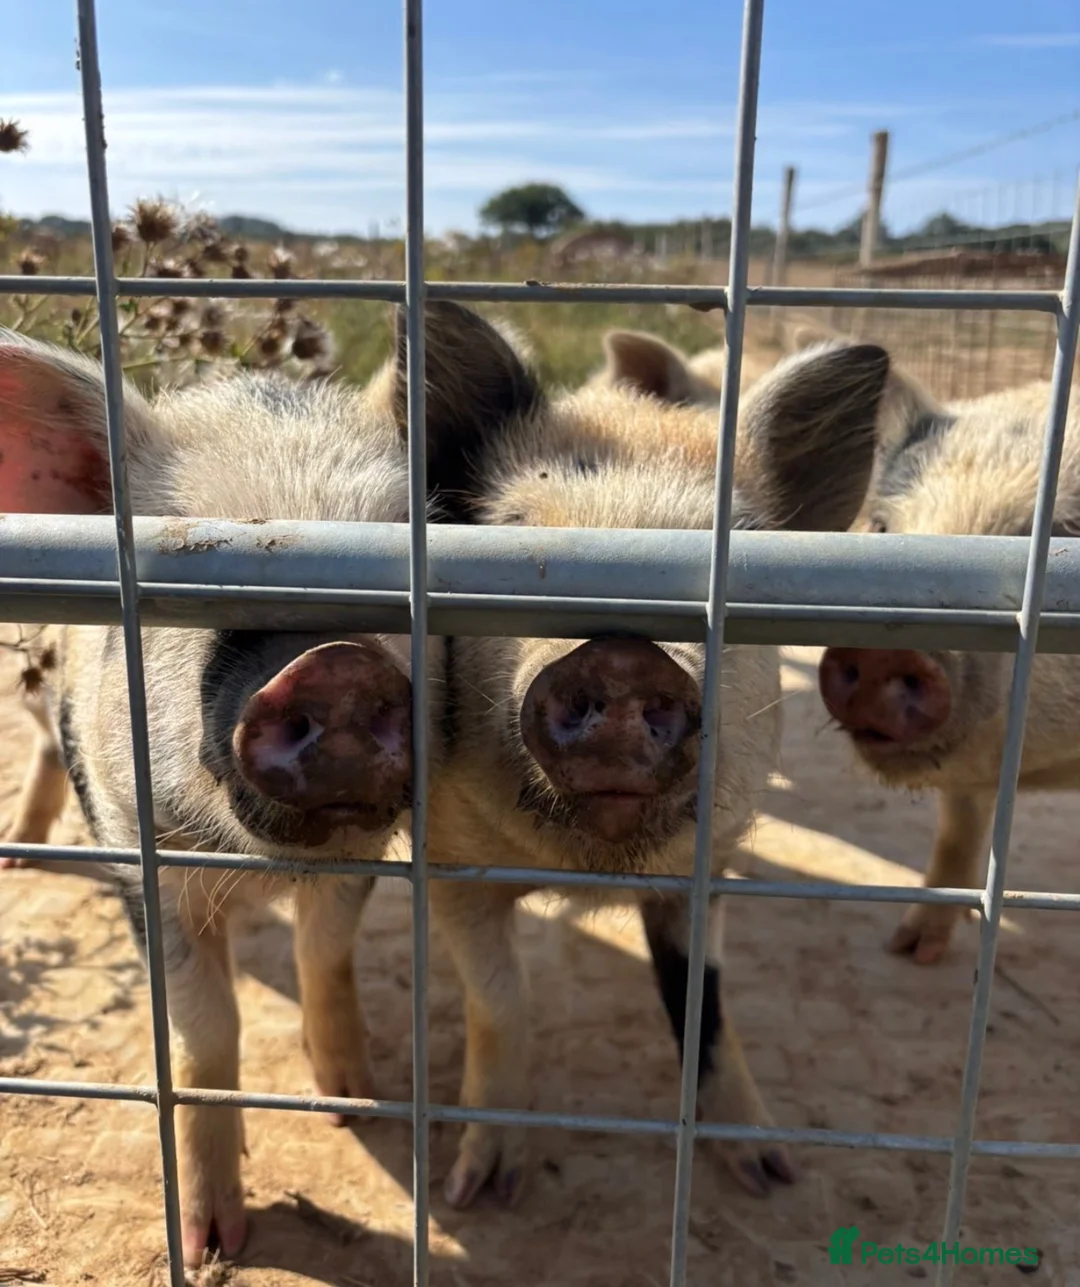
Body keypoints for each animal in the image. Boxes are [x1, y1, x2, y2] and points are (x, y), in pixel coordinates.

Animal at [0, 304, 537, 1267]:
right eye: (185, 567)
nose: (337, 665)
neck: (255, 863)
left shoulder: (366, 849)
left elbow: (324, 951)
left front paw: (351, 1101)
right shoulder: (139, 852)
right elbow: (204, 1030)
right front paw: (215, 1243)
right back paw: (21, 859)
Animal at [424, 331, 893, 1208]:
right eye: (510, 546)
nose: (620, 656)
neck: (588, 872)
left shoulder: (713, 866)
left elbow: (702, 1001)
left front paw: (770, 1172)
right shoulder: (451, 864)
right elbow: (500, 1003)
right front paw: (477, 1190)